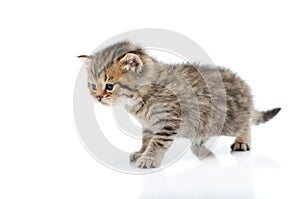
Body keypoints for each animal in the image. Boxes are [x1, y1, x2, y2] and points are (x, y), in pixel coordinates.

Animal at [79, 41, 282, 169]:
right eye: (93, 86)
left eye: (109, 86)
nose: (98, 97)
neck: (139, 97)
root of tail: (242, 84)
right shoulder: (149, 125)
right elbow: (147, 139)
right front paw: (142, 152)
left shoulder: (170, 119)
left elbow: (157, 142)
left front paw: (149, 158)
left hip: (230, 120)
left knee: (246, 122)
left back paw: (242, 140)